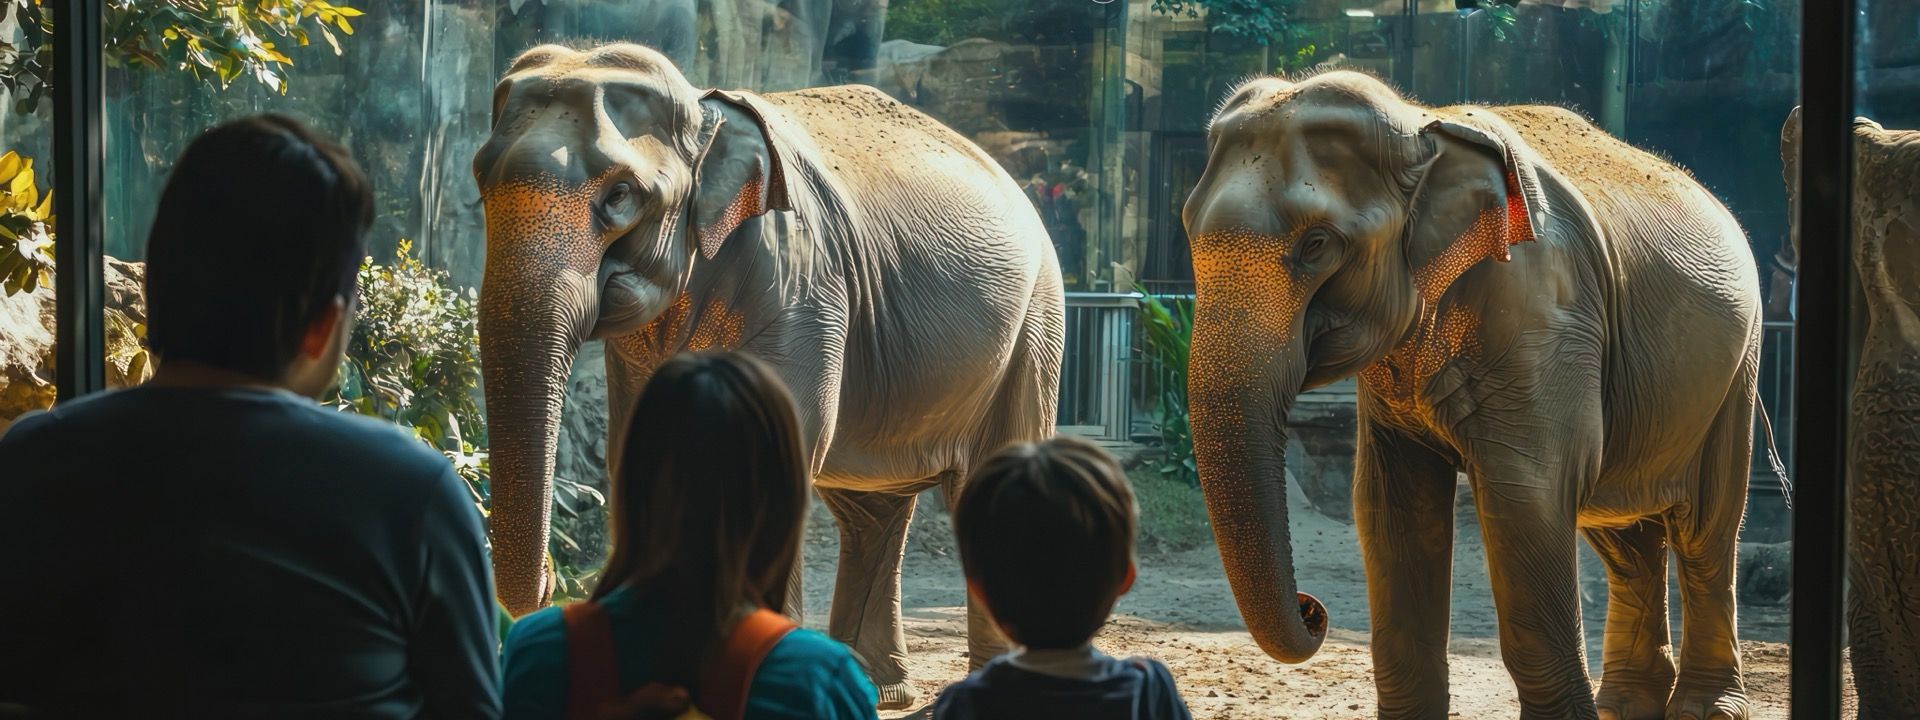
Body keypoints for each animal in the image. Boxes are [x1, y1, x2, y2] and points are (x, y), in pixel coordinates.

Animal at [471, 43, 1064, 709]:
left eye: (620, 195)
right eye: (480, 183)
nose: (552, 581)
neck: (701, 112)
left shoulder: (801, 283)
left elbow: (784, 444)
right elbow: (637, 446)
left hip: (1035, 325)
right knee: (871, 510)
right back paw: (877, 690)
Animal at [1183, 71, 1762, 720]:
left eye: (1317, 245)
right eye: (1188, 232)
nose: (1313, 610)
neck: (1420, 124)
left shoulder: (1544, 311)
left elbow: (1530, 494)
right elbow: (1392, 504)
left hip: (1737, 371)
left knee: (1706, 528)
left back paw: (1706, 708)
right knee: (1624, 533)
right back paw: (1626, 705)